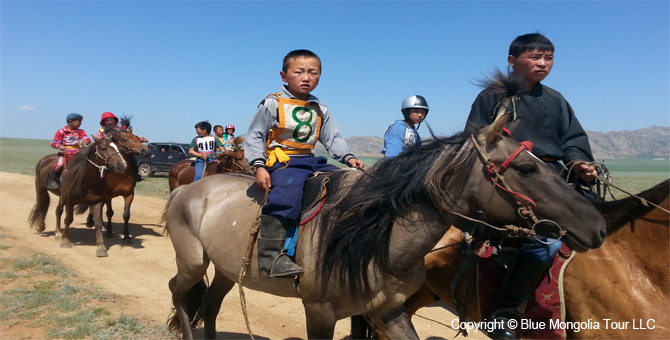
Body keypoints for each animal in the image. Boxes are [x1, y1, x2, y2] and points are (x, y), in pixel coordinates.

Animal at [161, 88, 608, 340]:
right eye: (528, 169)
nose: (597, 225)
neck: (377, 239)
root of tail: (187, 188)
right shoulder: (319, 312)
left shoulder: (388, 312)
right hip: (193, 261)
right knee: (178, 291)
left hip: (225, 268)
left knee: (211, 305)